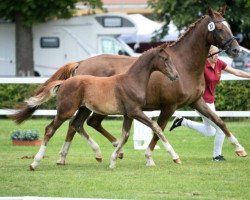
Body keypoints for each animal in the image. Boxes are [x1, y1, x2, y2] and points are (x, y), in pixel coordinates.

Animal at [12, 44, 179, 170]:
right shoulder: (135, 111)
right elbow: (156, 127)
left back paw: (96, 154)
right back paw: (34, 163)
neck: (131, 81)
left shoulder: (128, 115)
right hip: (66, 111)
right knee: (50, 129)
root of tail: (64, 82)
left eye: (171, 58)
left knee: (76, 125)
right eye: (165, 59)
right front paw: (175, 157)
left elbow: (124, 136)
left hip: (83, 109)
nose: (175, 76)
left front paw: (113, 161)